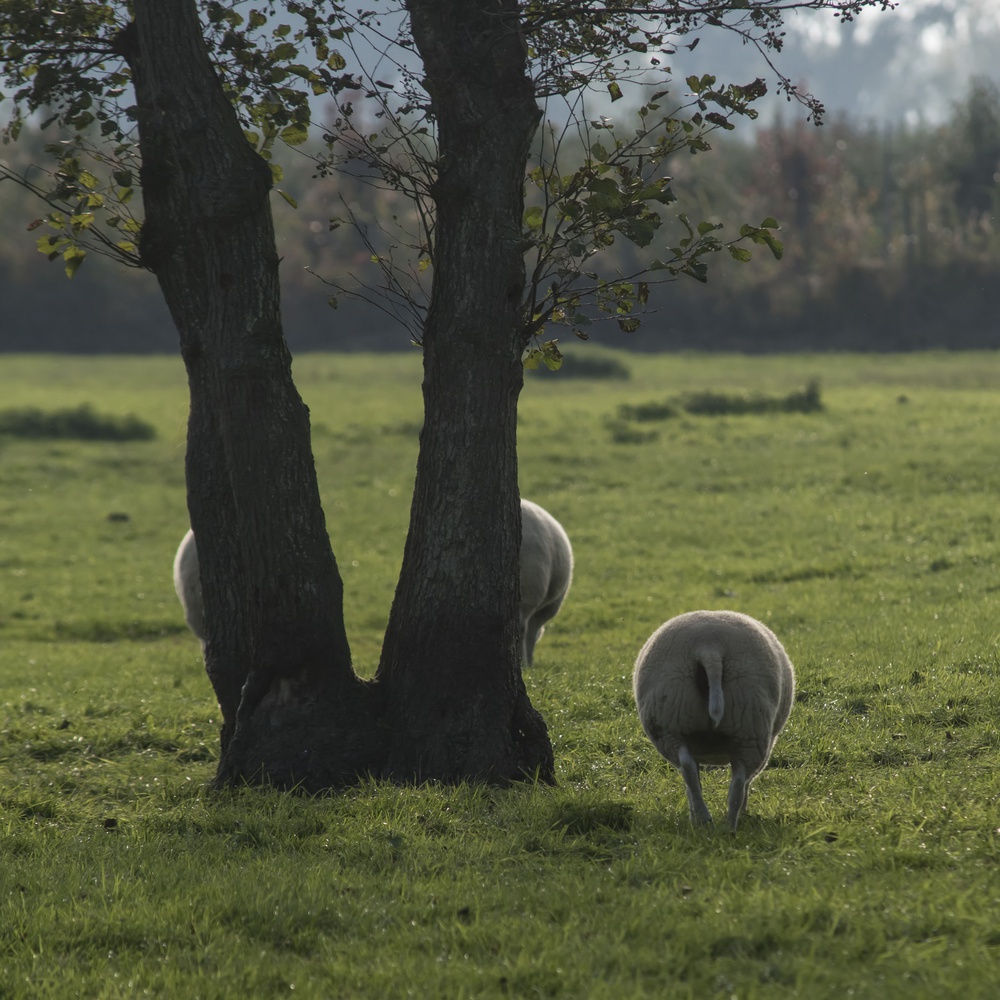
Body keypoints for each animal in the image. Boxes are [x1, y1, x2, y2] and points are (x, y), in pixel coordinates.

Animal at [632, 612, 796, 832]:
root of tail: (709, 648)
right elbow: (747, 781)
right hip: (751, 725)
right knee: (739, 782)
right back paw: (731, 826)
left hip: (671, 721)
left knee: (688, 770)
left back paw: (702, 819)